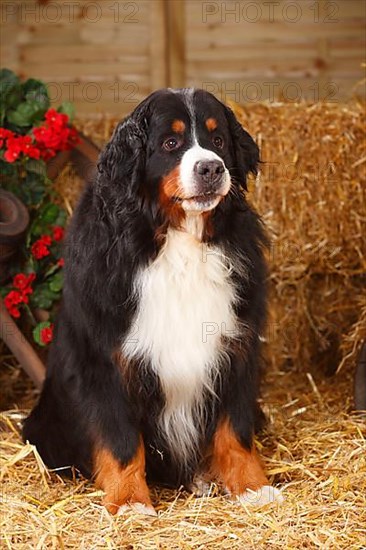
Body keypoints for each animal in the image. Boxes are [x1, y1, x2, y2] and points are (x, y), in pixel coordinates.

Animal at [23, 88, 284, 516]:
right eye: (170, 143)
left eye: (218, 140)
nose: (211, 168)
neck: (177, 241)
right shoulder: (107, 359)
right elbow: (121, 440)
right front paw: (129, 501)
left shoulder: (236, 347)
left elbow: (235, 428)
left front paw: (252, 487)